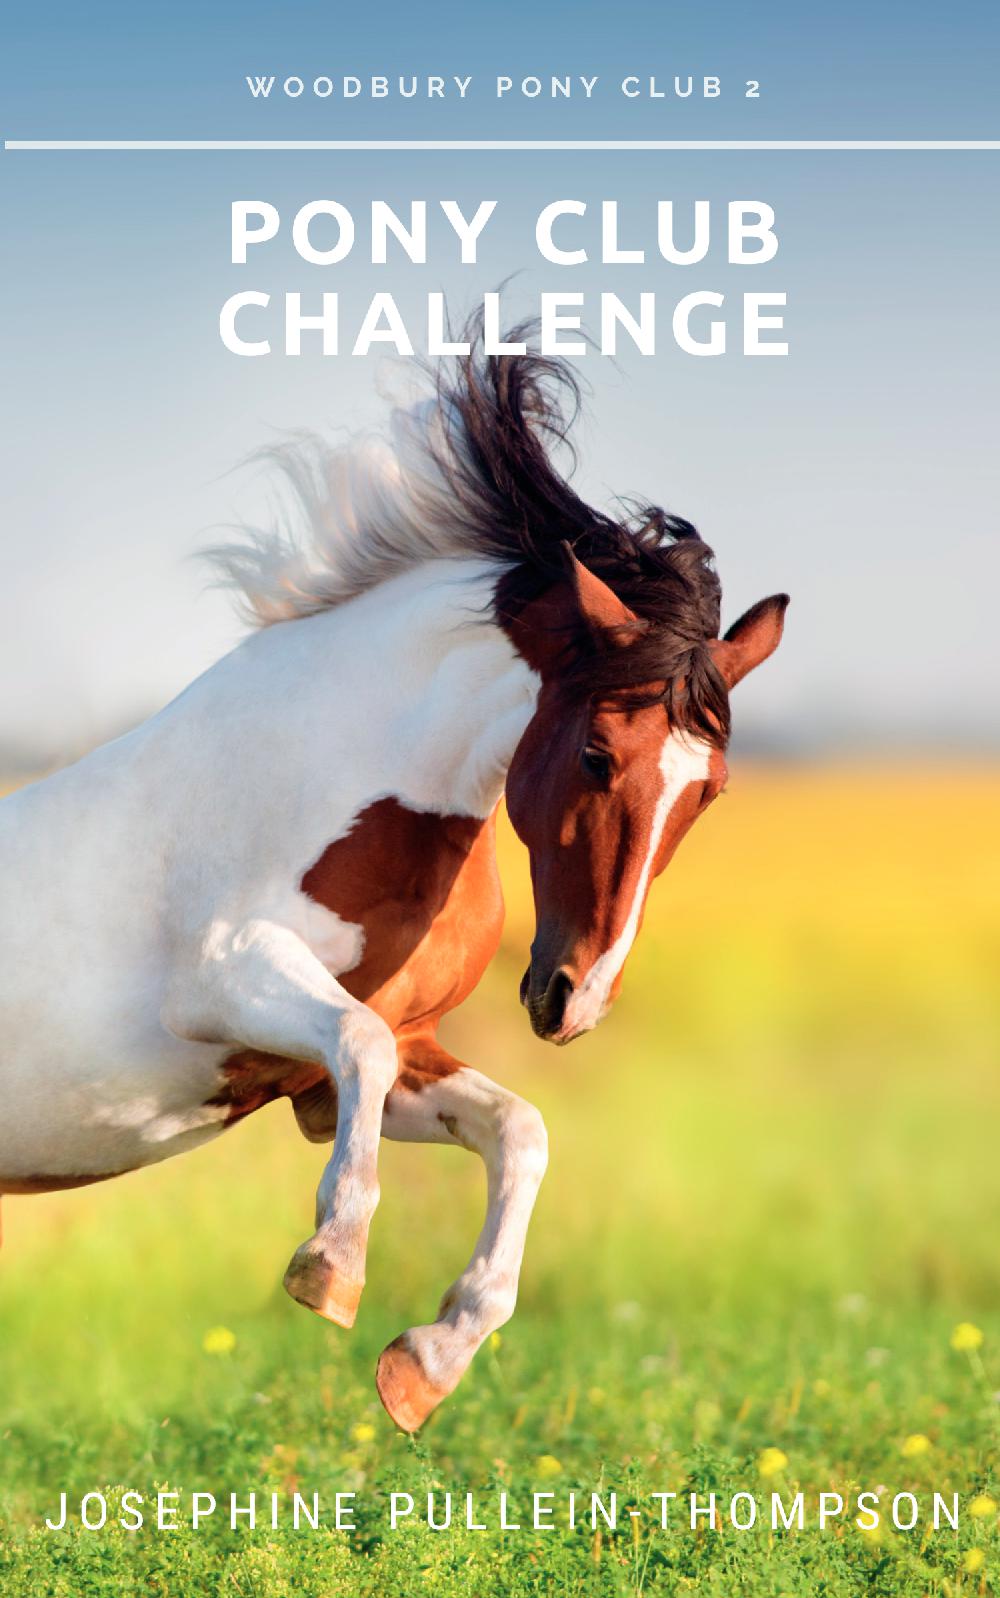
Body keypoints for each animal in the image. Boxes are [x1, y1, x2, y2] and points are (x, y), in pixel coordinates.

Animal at [0, 334, 787, 1431]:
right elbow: (363, 1048)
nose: (573, 999)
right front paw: (329, 1268)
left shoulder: (335, 1074)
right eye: (595, 752)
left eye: (706, 792)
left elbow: (518, 1130)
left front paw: (427, 1361)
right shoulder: (227, 980)